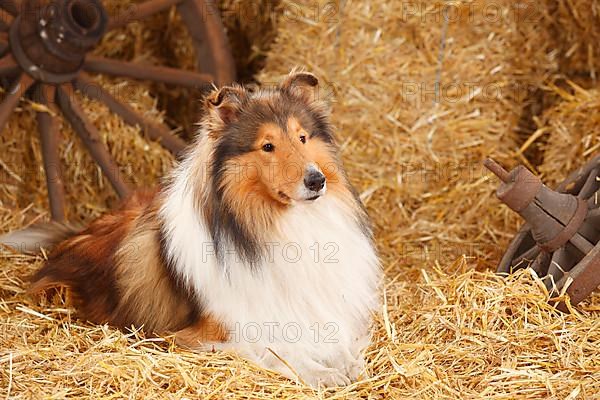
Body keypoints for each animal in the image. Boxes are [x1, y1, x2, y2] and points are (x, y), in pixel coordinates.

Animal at [3, 72, 380, 388]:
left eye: (302, 137)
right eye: (267, 146)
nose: (317, 180)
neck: (274, 223)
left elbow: (339, 337)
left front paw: (349, 362)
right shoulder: (204, 335)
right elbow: (277, 349)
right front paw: (323, 372)